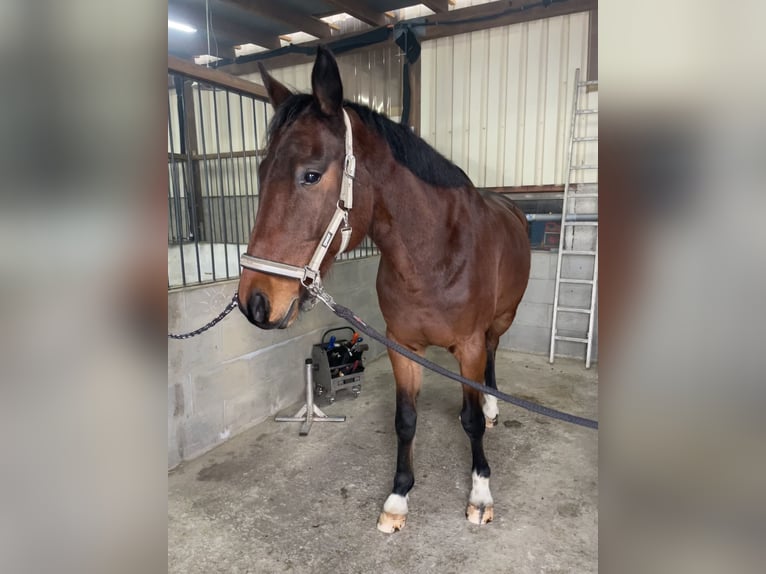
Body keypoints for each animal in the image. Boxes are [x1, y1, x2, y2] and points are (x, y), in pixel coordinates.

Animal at [238, 46, 531, 532]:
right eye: (259, 173)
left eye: (311, 175)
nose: (255, 302)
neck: (434, 256)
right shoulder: (401, 345)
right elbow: (405, 420)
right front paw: (398, 498)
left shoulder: (468, 345)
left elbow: (469, 421)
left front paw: (480, 493)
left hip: (500, 320)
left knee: (492, 354)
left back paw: (491, 406)